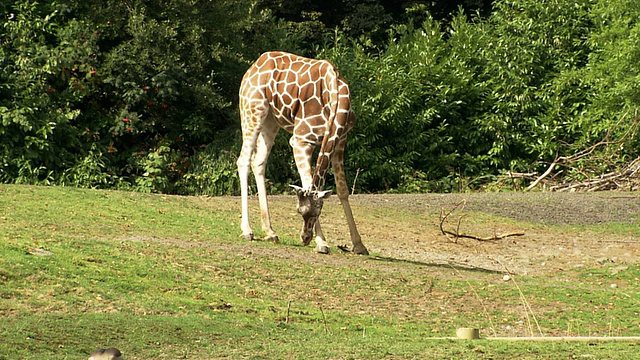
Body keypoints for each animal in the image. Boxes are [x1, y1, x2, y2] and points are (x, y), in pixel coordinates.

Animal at [236, 50, 368, 255]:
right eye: (299, 211)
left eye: (318, 212)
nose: (305, 239)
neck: (336, 96)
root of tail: (255, 65)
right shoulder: (301, 140)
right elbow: (309, 184)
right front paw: (321, 243)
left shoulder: (340, 139)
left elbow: (342, 189)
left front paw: (359, 244)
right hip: (252, 112)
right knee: (243, 160)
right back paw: (247, 231)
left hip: (271, 121)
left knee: (258, 162)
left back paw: (270, 231)